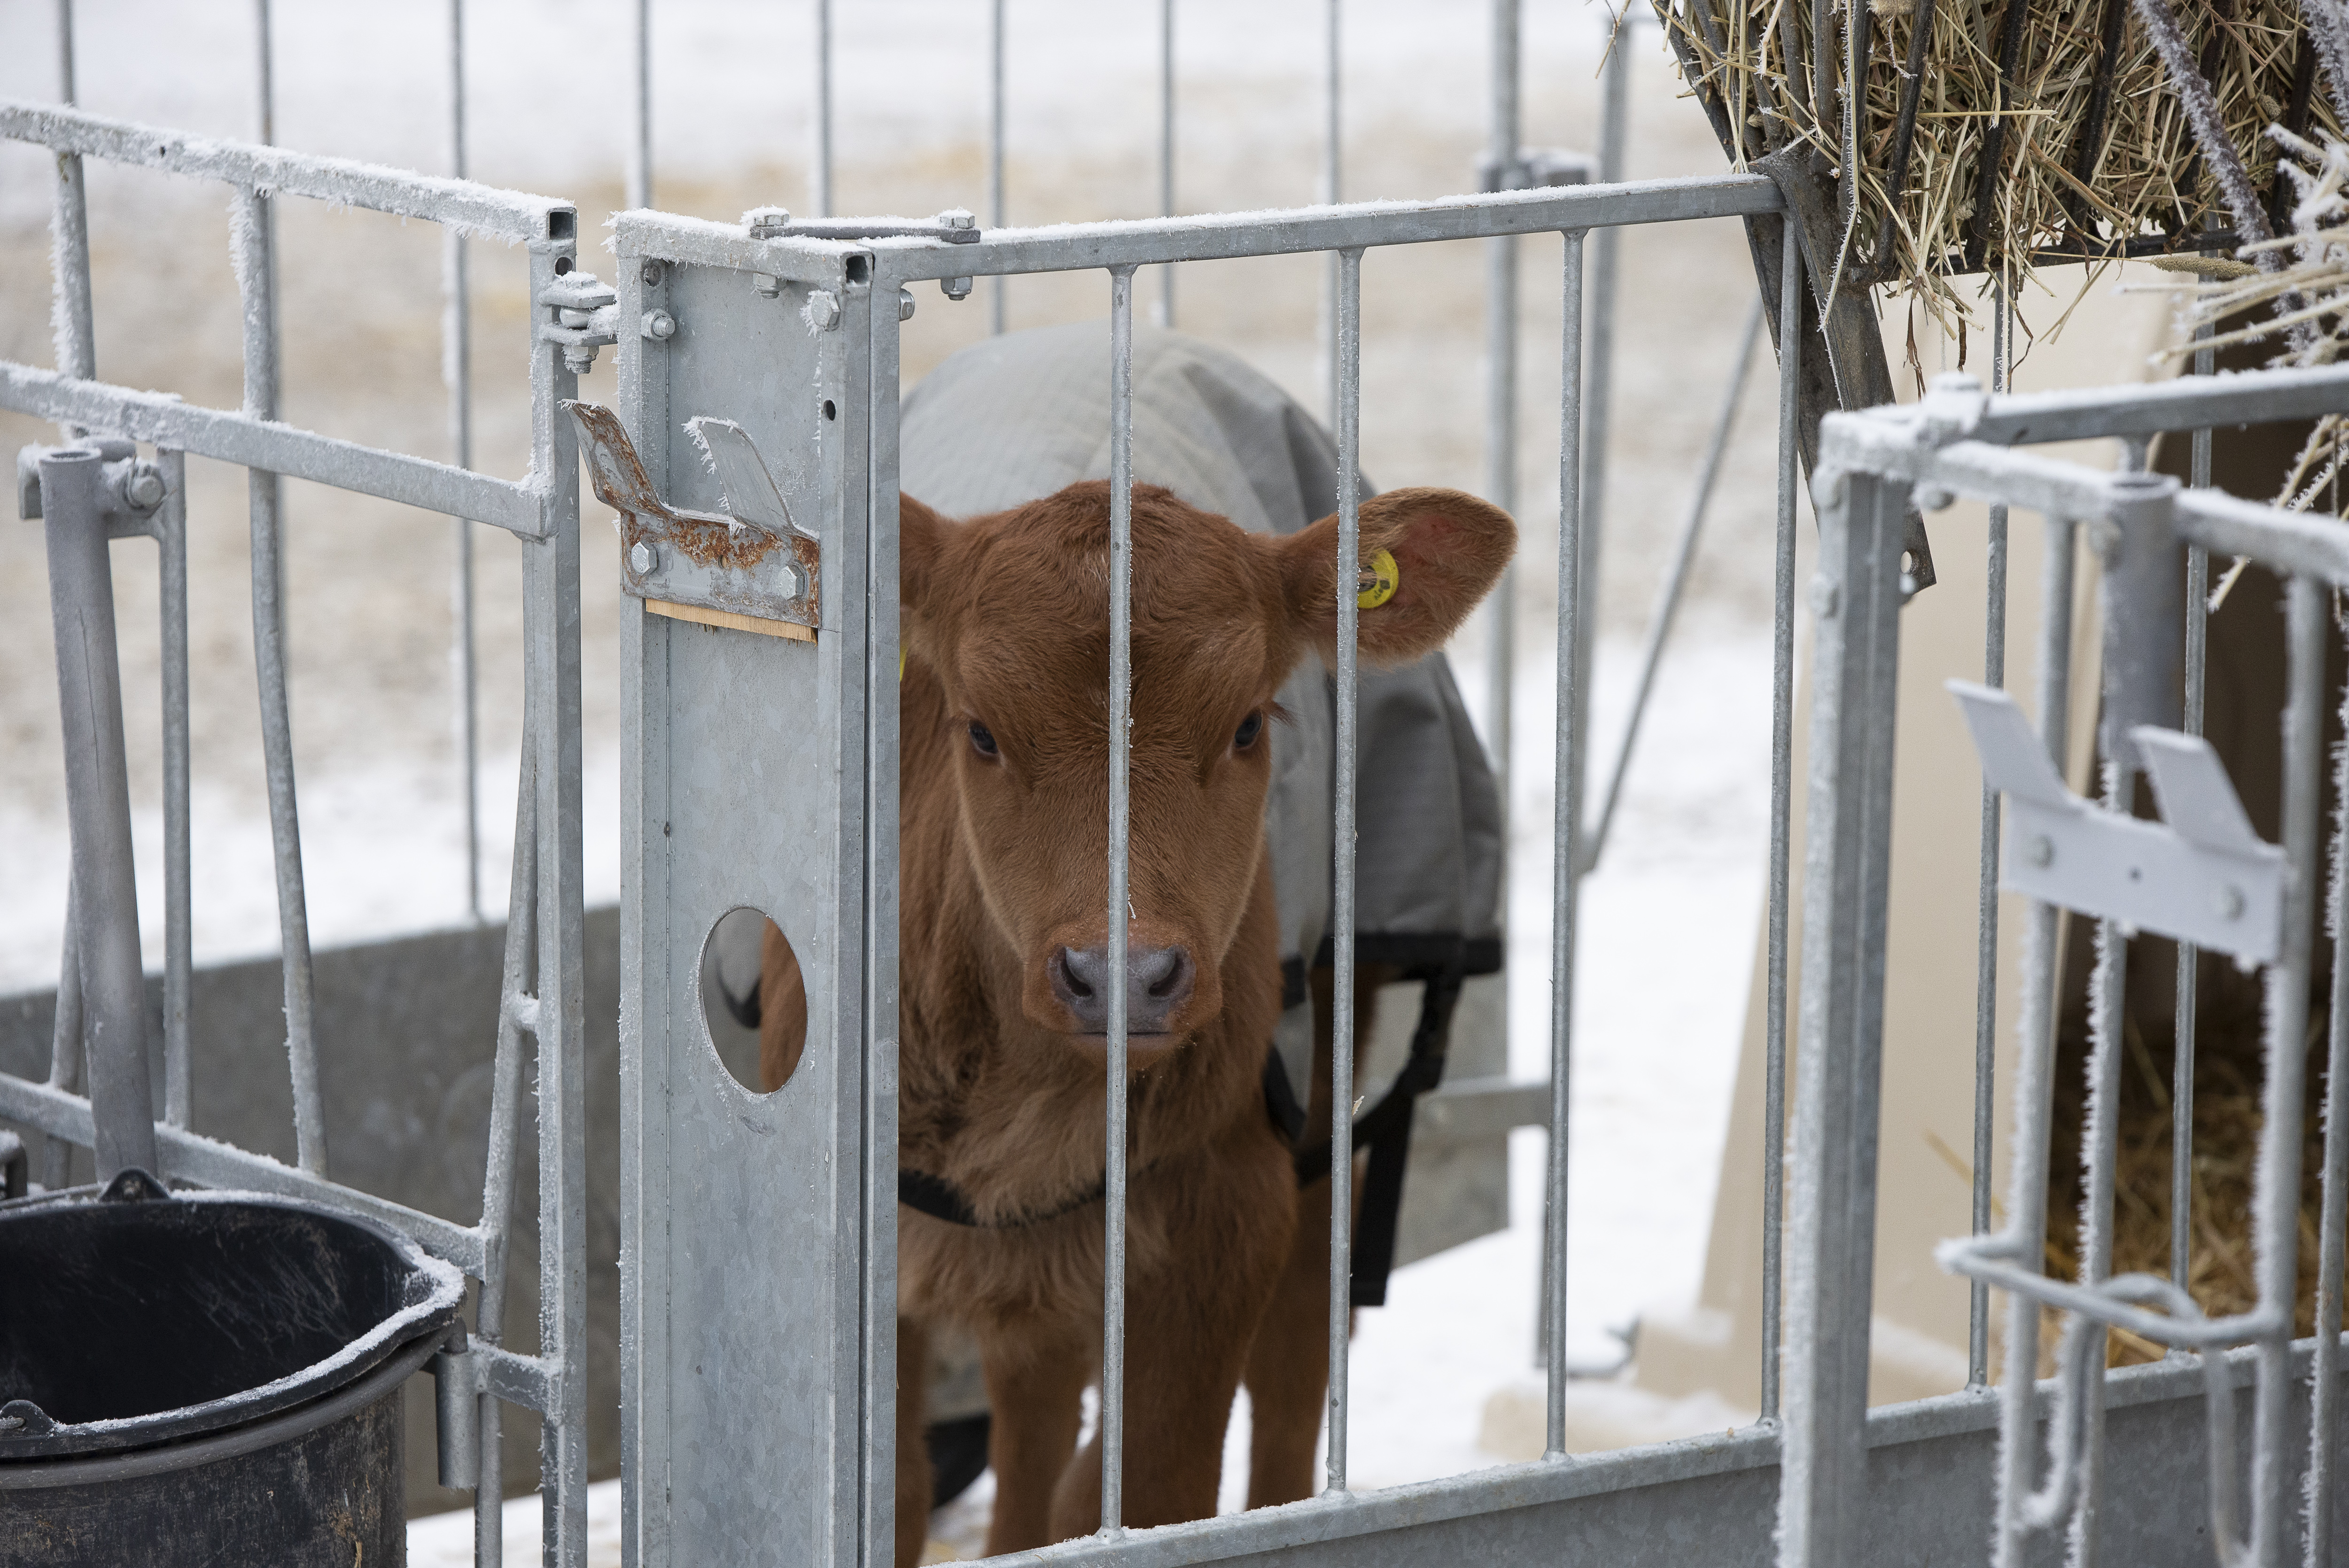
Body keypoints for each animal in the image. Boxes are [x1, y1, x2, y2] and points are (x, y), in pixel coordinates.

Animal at [761, 481, 1513, 1568]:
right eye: (980, 731)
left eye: (1246, 726)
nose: (1123, 976)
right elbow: (897, 1493)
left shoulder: (1223, 1214)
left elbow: (1143, 1492)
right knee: (1033, 1397)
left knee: (1298, 1350)